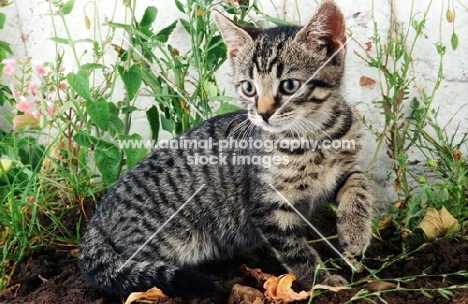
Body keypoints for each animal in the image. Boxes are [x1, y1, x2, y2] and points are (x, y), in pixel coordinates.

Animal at [79, 0, 372, 296]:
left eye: (289, 85)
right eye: (248, 88)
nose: (263, 114)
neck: (314, 135)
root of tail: (97, 219)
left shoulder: (343, 168)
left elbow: (359, 186)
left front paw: (355, 234)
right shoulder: (267, 204)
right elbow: (295, 250)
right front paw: (323, 281)